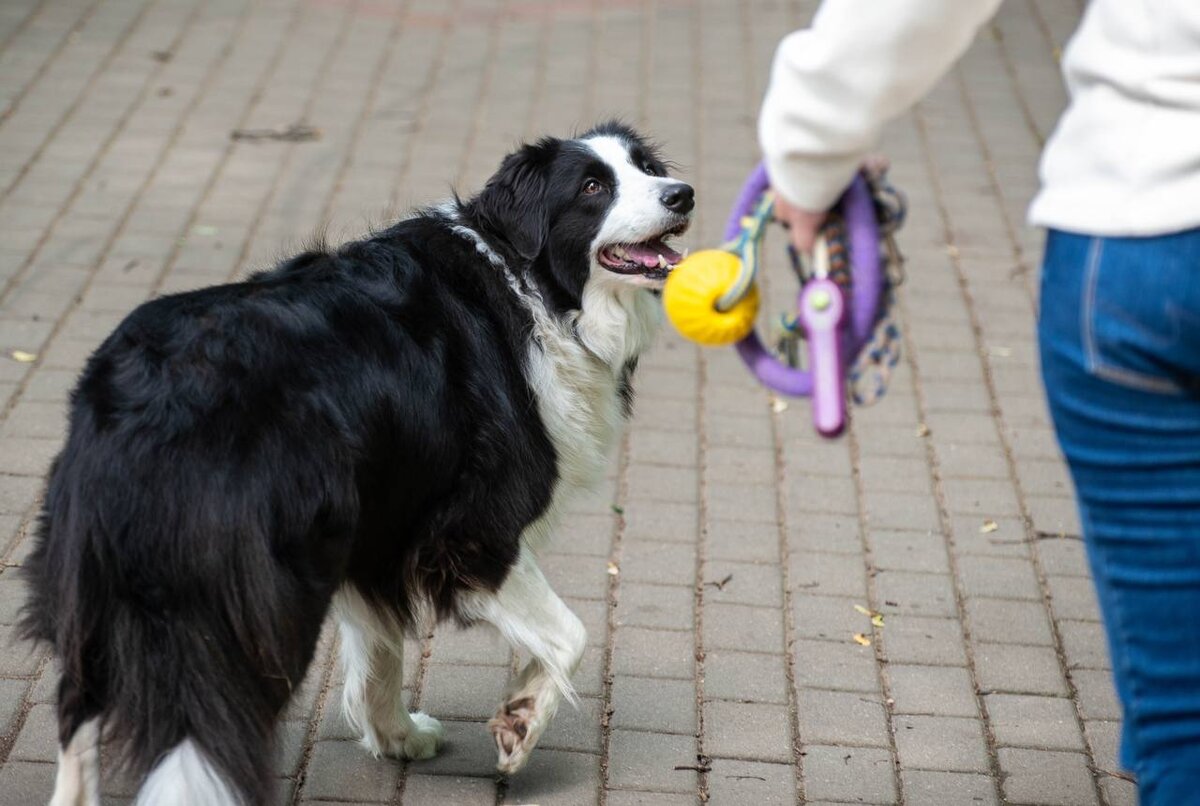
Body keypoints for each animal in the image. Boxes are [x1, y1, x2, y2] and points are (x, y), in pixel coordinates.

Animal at [21, 121, 696, 806]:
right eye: (592, 187)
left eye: (645, 167)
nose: (683, 194)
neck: (528, 282)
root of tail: (153, 392)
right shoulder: (471, 529)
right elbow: (570, 634)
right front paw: (521, 723)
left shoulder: (381, 524)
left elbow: (382, 649)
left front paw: (404, 734)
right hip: (261, 599)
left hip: (91, 572)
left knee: (79, 708)